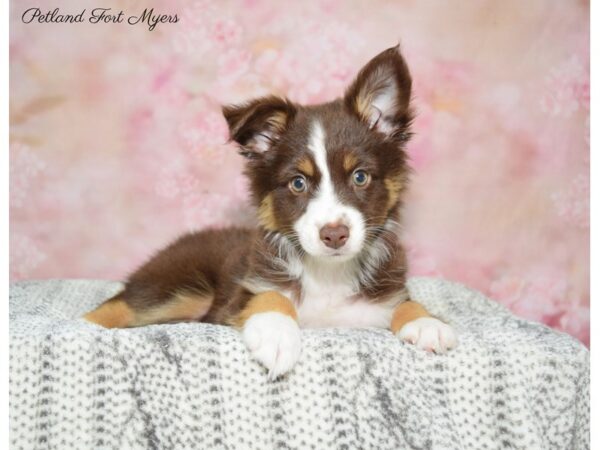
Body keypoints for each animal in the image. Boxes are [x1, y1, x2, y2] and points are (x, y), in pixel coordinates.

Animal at [84, 45, 458, 378]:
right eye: (297, 183)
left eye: (360, 177)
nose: (334, 235)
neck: (328, 273)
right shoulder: (235, 297)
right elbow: (271, 296)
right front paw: (277, 334)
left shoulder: (381, 299)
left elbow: (406, 301)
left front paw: (426, 321)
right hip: (180, 285)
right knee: (116, 305)